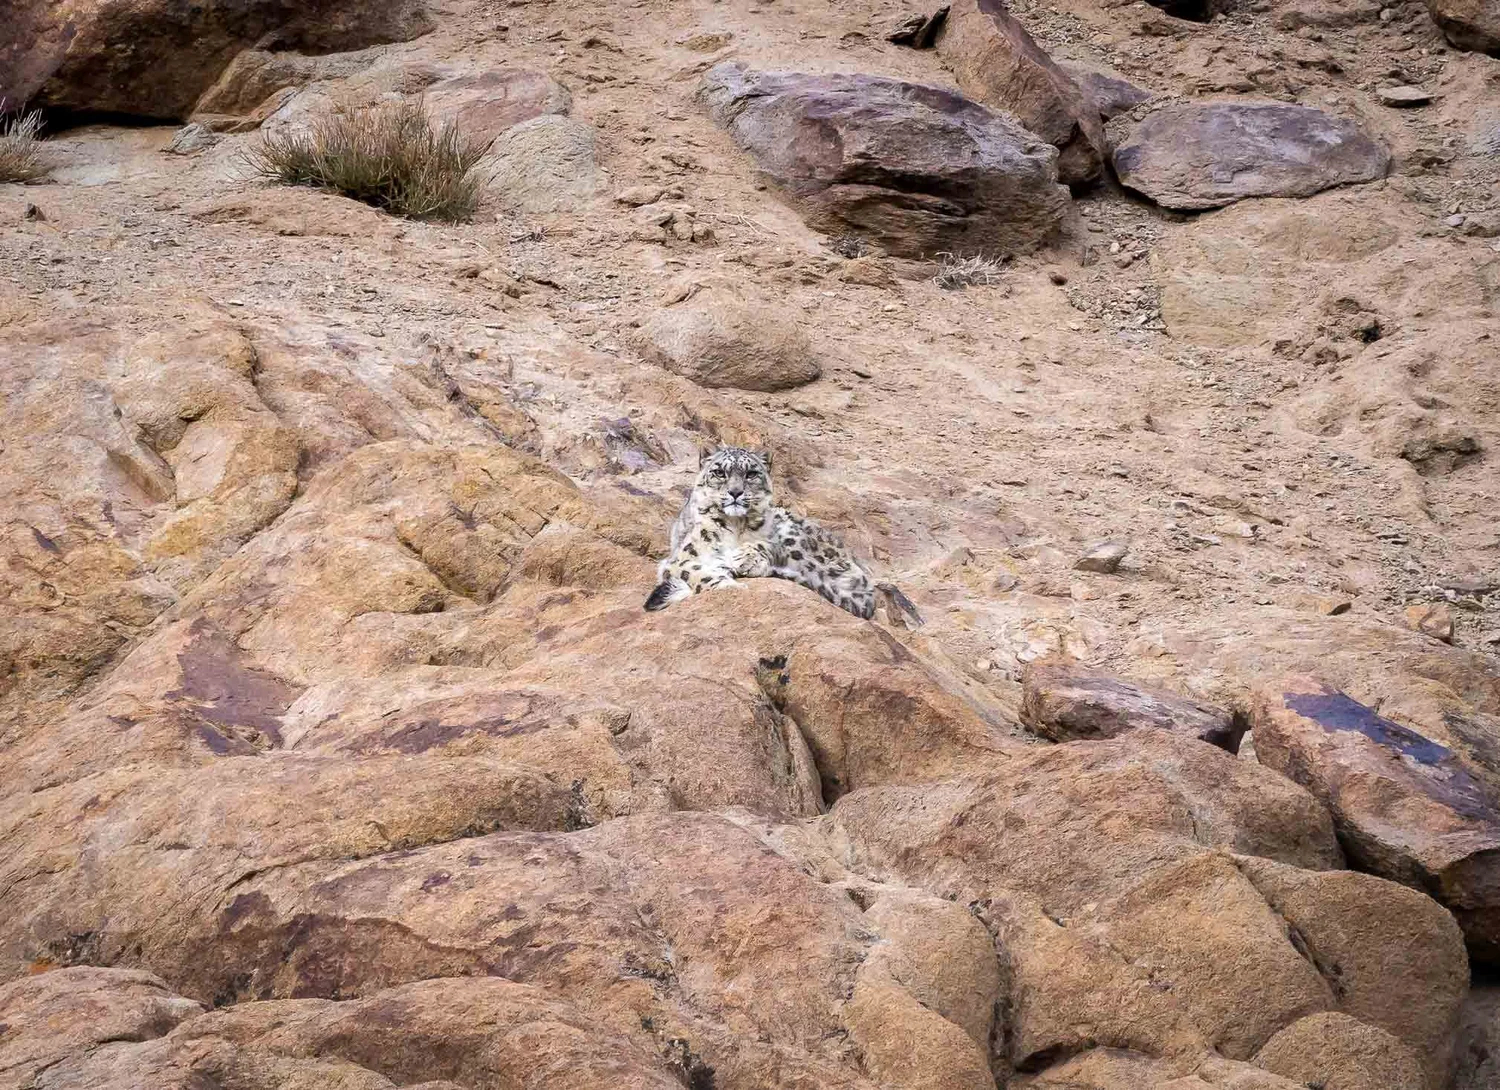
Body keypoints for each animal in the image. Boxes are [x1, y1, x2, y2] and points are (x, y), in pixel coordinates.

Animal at [643, 446, 878, 619]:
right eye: (719, 472)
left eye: (751, 474)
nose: (735, 492)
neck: (735, 526)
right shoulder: (678, 561)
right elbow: (697, 572)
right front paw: (729, 585)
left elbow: (768, 545)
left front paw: (746, 559)